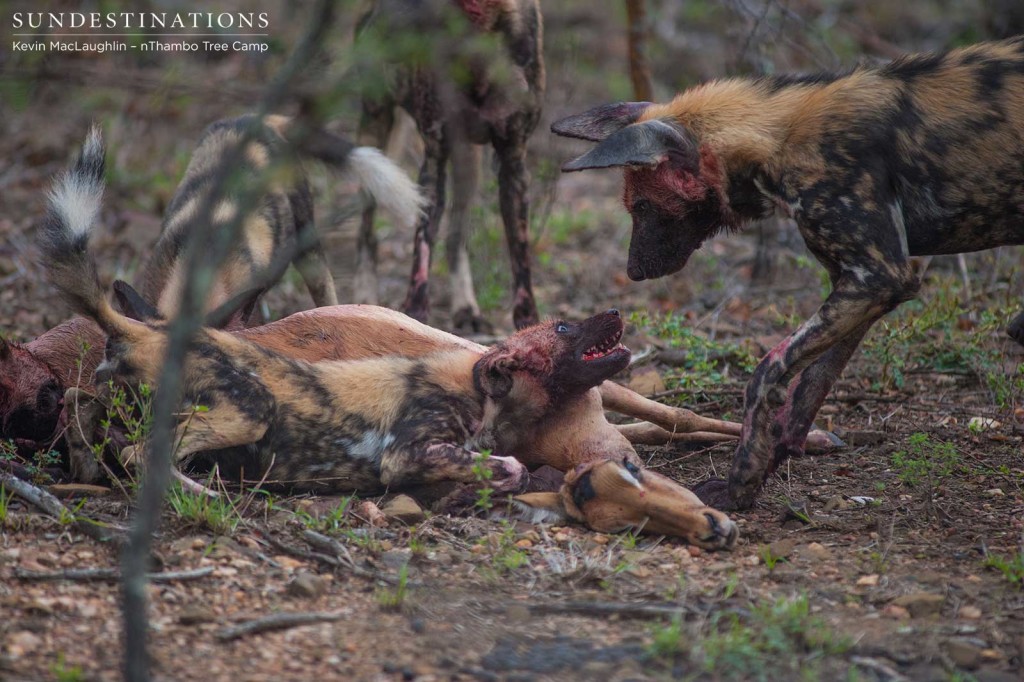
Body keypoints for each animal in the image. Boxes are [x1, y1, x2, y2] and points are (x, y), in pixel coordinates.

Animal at [352, 0, 544, 329]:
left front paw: (531, 326)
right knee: (367, 232)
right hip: (374, 134)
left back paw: (465, 306)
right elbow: (421, 251)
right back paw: (364, 295)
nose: (377, 29)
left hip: (468, 163)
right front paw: (414, 318)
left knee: (456, 238)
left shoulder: (513, 163)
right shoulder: (434, 161)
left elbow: (521, 259)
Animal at [557, 35, 1024, 503]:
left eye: (641, 206)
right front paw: (771, 462)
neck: (781, 138)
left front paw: (740, 485)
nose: (633, 270)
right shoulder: (866, 282)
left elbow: (767, 372)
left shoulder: (880, 277)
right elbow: (809, 390)